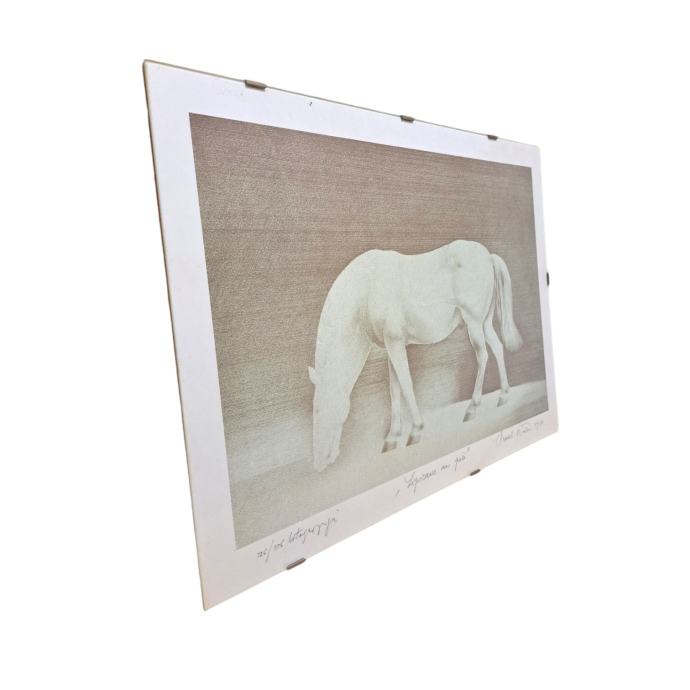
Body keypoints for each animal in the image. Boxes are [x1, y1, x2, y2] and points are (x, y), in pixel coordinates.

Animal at [307, 240, 523, 471]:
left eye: (318, 409)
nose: (319, 463)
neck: (367, 290)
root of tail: (488, 256)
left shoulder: (396, 342)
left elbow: (406, 383)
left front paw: (416, 430)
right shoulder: (390, 347)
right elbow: (394, 388)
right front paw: (392, 437)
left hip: (473, 323)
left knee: (482, 357)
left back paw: (472, 408)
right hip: (484, 323)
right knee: (498, 349)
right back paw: (503, 396)